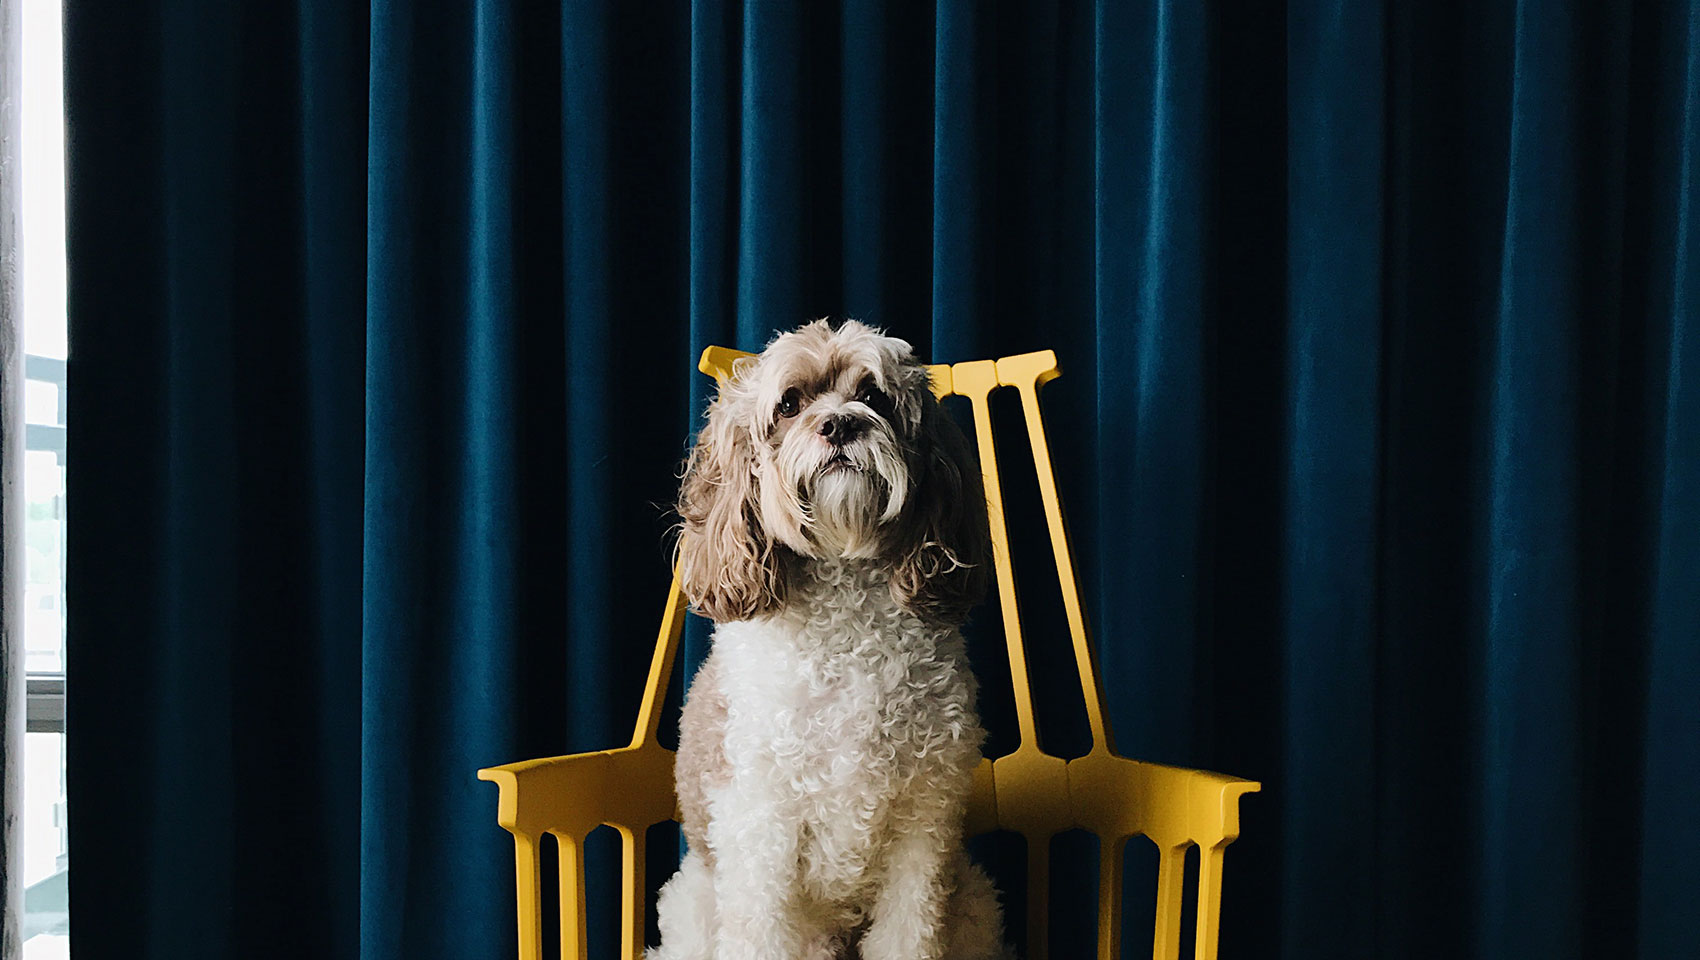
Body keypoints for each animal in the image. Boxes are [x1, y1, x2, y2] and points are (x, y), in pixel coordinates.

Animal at [649, 319, 1006, 958]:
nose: (840, 423)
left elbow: (908, 932)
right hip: (696, 908)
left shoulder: (924, 823)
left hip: (974, 904)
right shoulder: (759, 824)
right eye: (789, 404)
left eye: (874, 396)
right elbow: (760, 932)